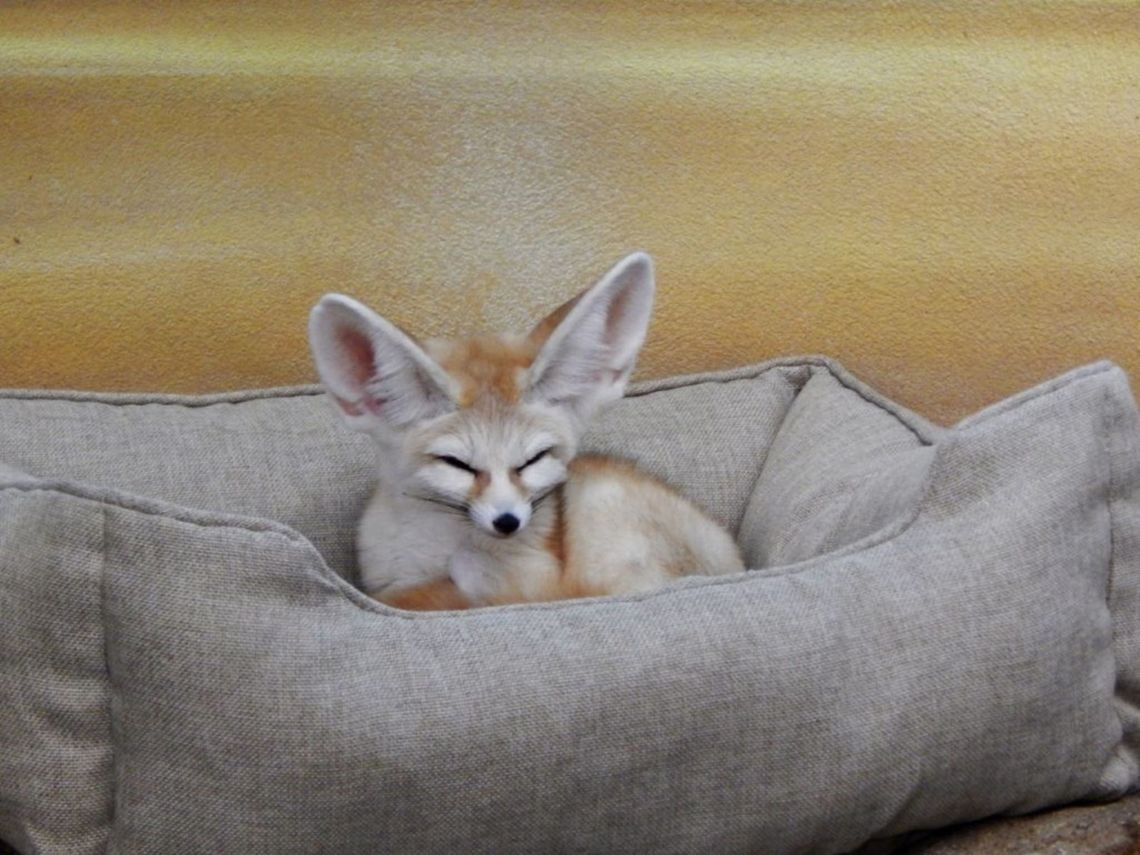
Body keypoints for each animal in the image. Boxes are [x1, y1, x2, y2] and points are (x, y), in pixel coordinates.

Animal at [308, 252, 745, 610]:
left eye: (533, 460)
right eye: (457, 464)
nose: (508, 522)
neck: (432, 549)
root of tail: (736, 565)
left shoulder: (533, 581)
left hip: (601, 502)